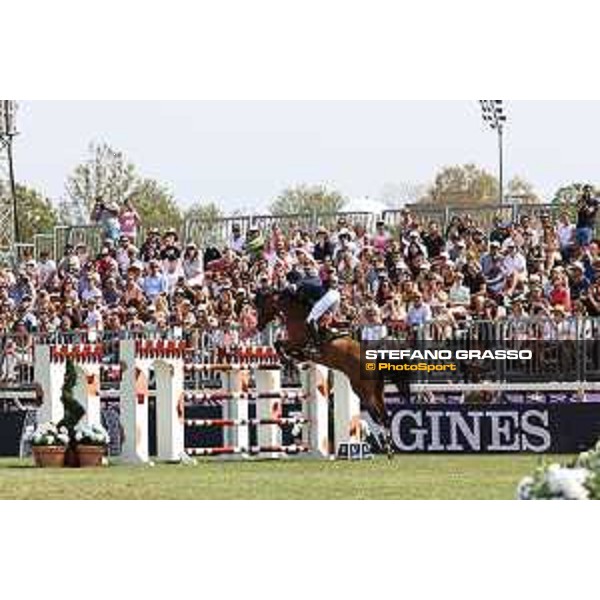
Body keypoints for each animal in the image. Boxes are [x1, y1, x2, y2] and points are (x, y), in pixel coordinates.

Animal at [253, 288, 412, 458]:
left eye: (261, 307)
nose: (258, 326)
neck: (296, 315)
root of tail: (374, 358)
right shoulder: (302, 350)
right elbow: (288, 350)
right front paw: (292, 360)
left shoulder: (297, 343)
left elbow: (279, 344)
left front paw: (285, 359)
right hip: (377, 392)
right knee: (385, 417)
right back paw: (390, 449)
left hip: (363, 391)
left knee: (378, 417)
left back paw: (386, 448)